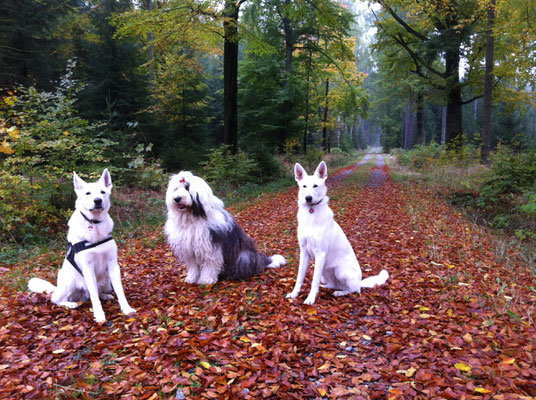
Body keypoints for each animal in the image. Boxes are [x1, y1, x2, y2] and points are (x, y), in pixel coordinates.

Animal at [27, 169, 137, 322]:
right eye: (88, 193)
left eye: (102, 192)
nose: (98, 200)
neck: (95, 224)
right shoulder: (88, 269)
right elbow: (94, 298)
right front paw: (99, 315)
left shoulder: (113, 265)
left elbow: (120, 291)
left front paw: (126, 309)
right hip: (69, 282)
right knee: (56, 299)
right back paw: (70, 304)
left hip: (106, 282)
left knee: (97, 292)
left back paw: (105, 295)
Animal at [286, 161, 388, 304]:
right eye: (304, 186)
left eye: (315, 186)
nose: (308, 198)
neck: (311, 214)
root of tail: (360, 281)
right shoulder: (304, 253)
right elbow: (299, 277)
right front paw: (294, 293)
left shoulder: (320, 254)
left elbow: (313, 281)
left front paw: (310, 298)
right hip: (324, 271)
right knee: (332, 284)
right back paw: (327, 287)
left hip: (340, 270)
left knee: (354, 290)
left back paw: (340, 292)